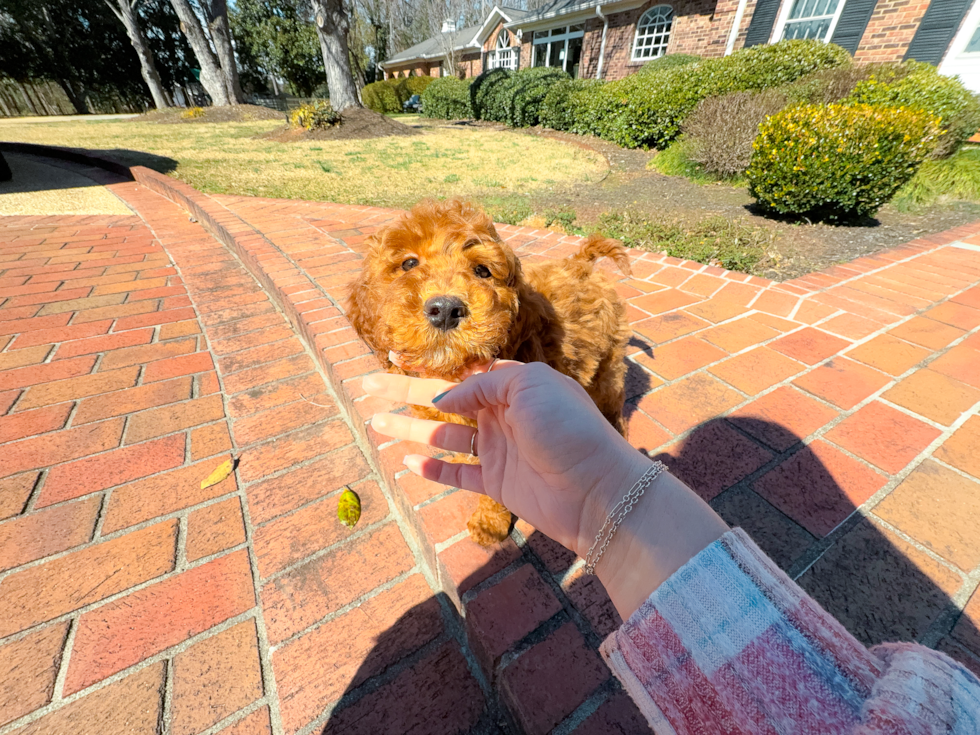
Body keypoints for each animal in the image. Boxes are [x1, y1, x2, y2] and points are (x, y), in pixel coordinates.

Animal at [348, 200, 632, 548]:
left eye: (482, 271)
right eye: (408, 264)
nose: (445, 309)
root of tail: (580, 262)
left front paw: (490, 522)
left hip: (608, 363)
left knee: (612, 400)